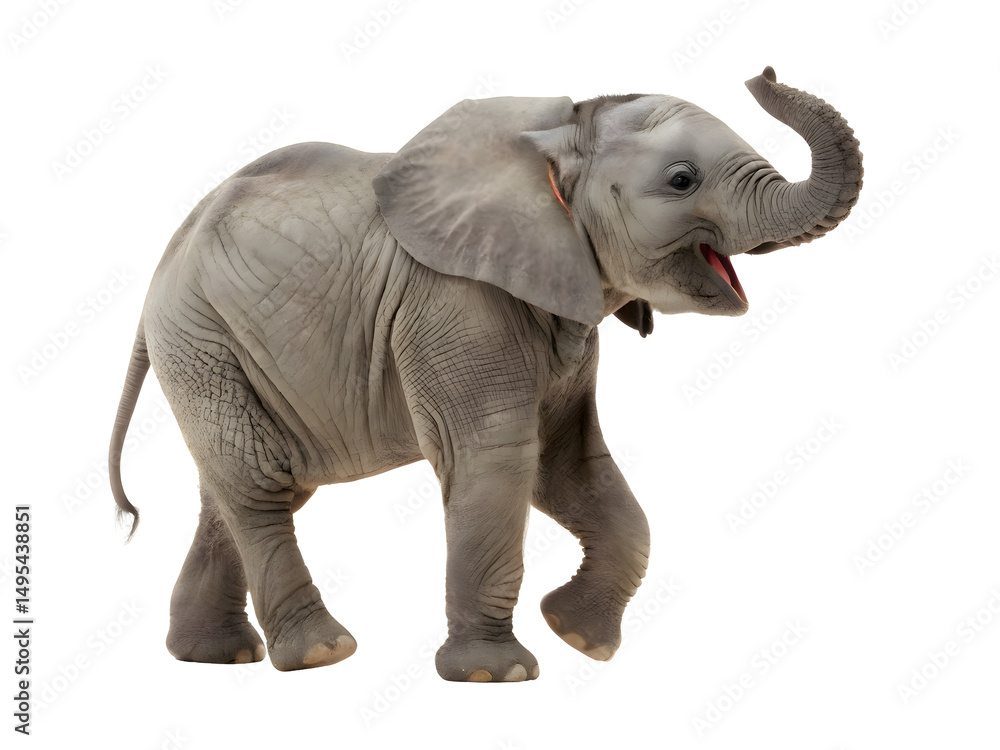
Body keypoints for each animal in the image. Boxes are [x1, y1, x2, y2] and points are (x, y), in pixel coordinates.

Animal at [109, 67, 862, 682]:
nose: (763, 72)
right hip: (201, 336)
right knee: (262, 481)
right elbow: (497, 456)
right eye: (682, 181)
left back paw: (215, 656)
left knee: (243, 487)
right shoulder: (452, 303)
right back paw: (322, 653)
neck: (558, 139)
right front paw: (494, 674)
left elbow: (569, 464)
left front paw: (579, 638)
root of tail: (163, 261)